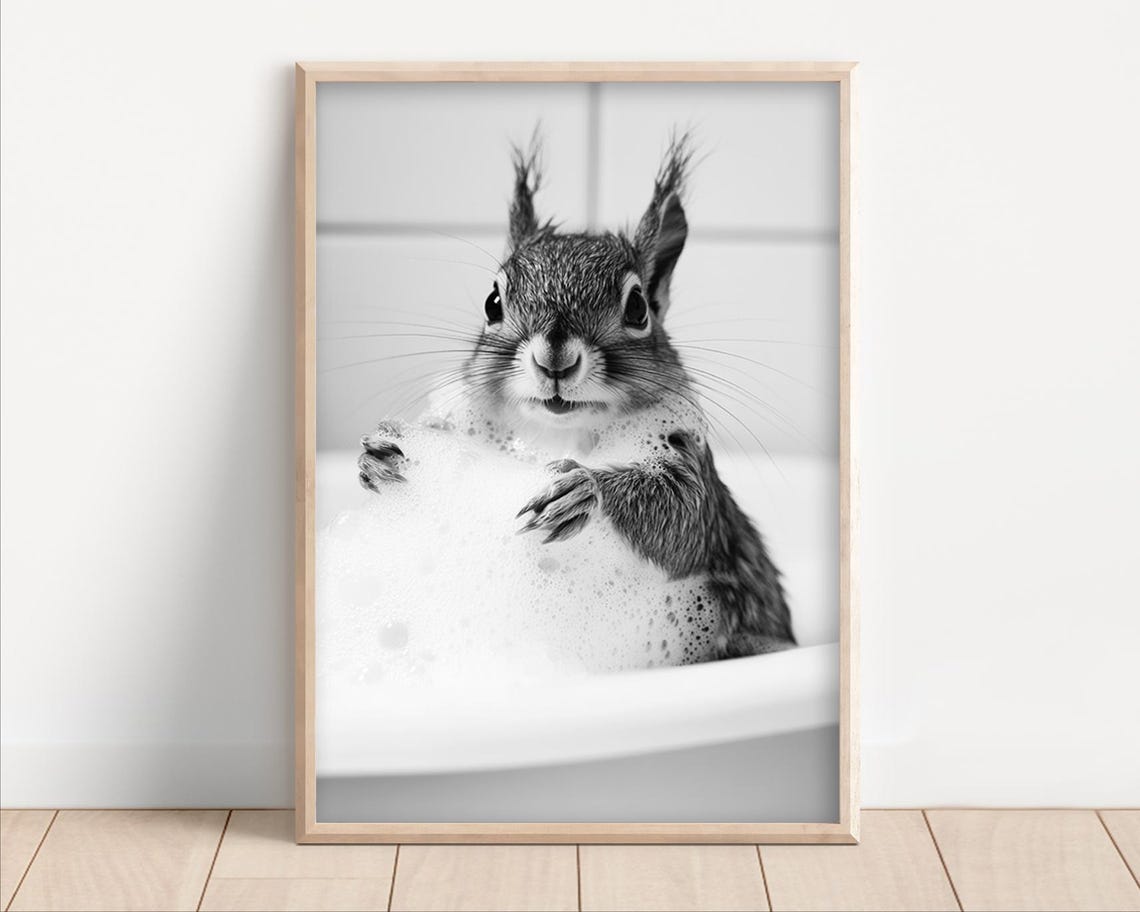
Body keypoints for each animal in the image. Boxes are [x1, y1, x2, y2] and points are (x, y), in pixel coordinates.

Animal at [358, 134, 796, 660]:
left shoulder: (687, 458)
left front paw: (584, 488)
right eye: (492, 302)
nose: (555, 360)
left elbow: (682, 518)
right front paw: (387, 455)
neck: (557, 436)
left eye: (638, 307)